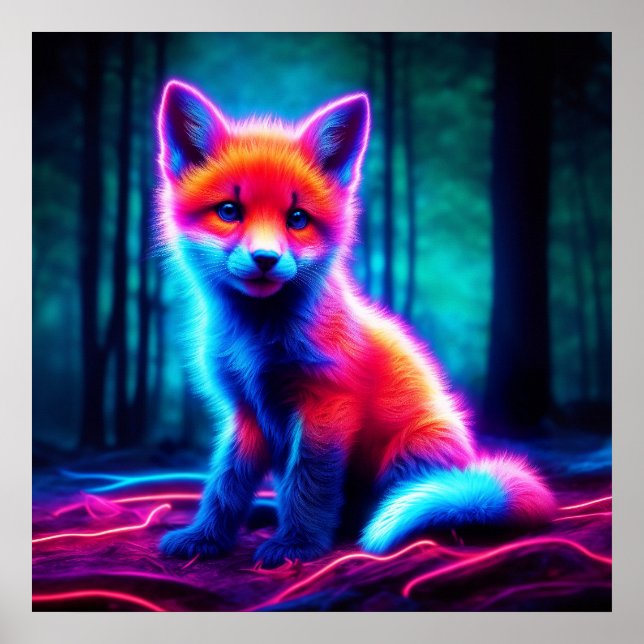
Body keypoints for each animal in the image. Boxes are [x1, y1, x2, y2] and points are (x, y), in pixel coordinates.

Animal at [156, 80, 555, 567]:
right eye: (229, 211)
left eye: (297, 218)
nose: (265, 259)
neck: (258, 342)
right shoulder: (247, 413)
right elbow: (225, 485)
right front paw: (206, 538)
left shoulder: (328, 404)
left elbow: (308, 481)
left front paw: (298, 545)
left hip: (409, 455)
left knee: (414, 509)